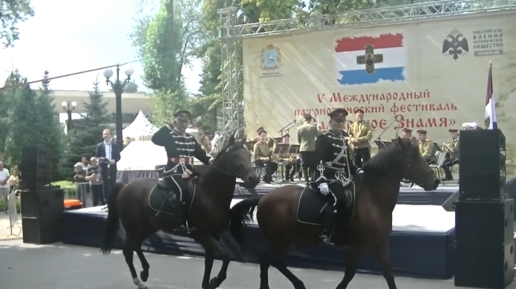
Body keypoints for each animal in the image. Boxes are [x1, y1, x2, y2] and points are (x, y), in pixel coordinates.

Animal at [101, 135, 260, 288]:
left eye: (248, 154)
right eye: (235, 155)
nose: (253, 178)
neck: (209, 194)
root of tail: (124, 186)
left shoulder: (215, 233)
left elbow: (211, 261)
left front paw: (207, 283)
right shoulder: (201, 234)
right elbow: (225, 254)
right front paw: (215, 280)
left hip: (149, 226)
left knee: (138, 244)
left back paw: (145, 271)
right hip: (132, 228)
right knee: (128, 251)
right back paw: (138, 282)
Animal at [230, 137, 440, 288]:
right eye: (412, 157)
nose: (435, 181)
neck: (372, 198)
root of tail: (263, 198)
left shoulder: (380, 244)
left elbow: (387, 273)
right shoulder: (357, 244)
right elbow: (350, 273)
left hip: (285, 240)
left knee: (275, 261)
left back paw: (299, 284)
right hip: (280, 240)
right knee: (267, 260)